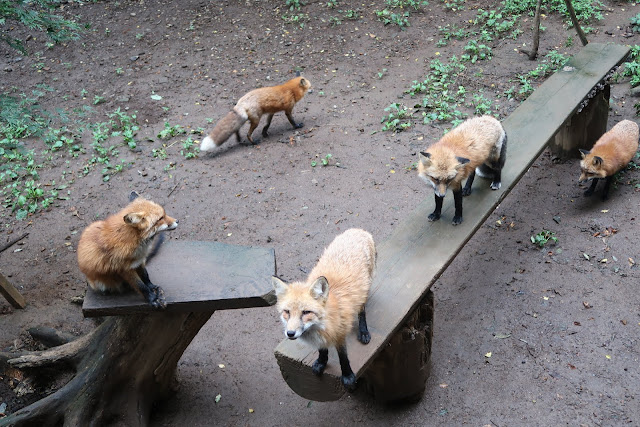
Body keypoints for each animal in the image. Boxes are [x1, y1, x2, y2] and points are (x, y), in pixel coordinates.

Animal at [272, 229, 376, 392]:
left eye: (306, 312)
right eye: (287, 312)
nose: (290, 333)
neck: (321, 325)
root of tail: (357, 230)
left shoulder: (340, 332)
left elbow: (343, 357)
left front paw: (347, 375)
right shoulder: (321, 339)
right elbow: (322, 349)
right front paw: (321, 362)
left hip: (364, 289)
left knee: (361, 310)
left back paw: (363, 331)